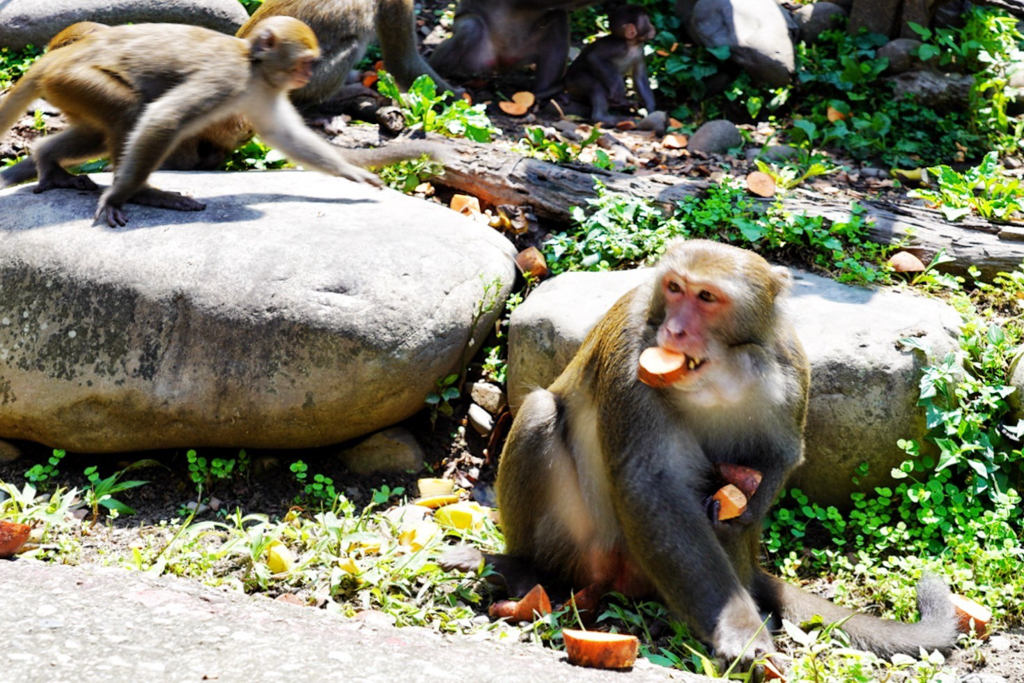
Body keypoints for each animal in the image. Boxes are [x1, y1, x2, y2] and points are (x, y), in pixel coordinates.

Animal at [0, 17, 440, 227]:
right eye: (304, 61)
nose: (307, 74)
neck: (253, 64)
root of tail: (53, 60)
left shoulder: (263, 89)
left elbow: (283, 135)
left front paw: (352, 173)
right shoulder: (230, 77)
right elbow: (164, 118)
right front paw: (118, 197)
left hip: (66, 87)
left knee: (96, 131)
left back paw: (48, 162)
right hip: (76, 80)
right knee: (130, 113)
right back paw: (143, 192)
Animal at [444, 240, 962, 667]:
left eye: (707, 298)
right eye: (674, 288)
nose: (674, 330)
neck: (720, 373)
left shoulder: (790, 365)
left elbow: (780, 456)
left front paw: (743, 508)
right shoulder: (636, 349)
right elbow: (650, 482)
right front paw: (738, 631)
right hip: (581, 548)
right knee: (538, 413)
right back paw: (524, 569)